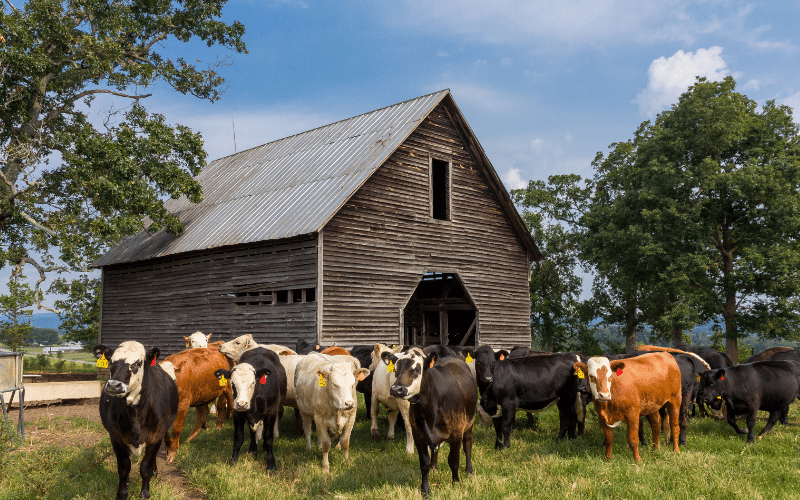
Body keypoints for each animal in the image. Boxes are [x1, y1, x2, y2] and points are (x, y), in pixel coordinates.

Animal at [92, 340, 178, 500]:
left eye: (137, 363)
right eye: (111, 362)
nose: (114, 385)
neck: (135, 413)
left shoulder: (156, 436)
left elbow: (145, 466)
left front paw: (144, 492)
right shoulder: (116, 437)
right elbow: (124, 467)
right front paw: (122, 492)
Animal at [386, 348, 478, 496]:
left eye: (416, 370)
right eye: (395, 369)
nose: (396, 389)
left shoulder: (457, 432)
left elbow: (453, 460)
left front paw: (456, 483)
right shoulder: (418, 434)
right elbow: (424, 463)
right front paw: (425, 490)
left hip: (469, 423)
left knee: (467, 444)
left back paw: (469, 470)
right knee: (435, 449)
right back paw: (434, 467)